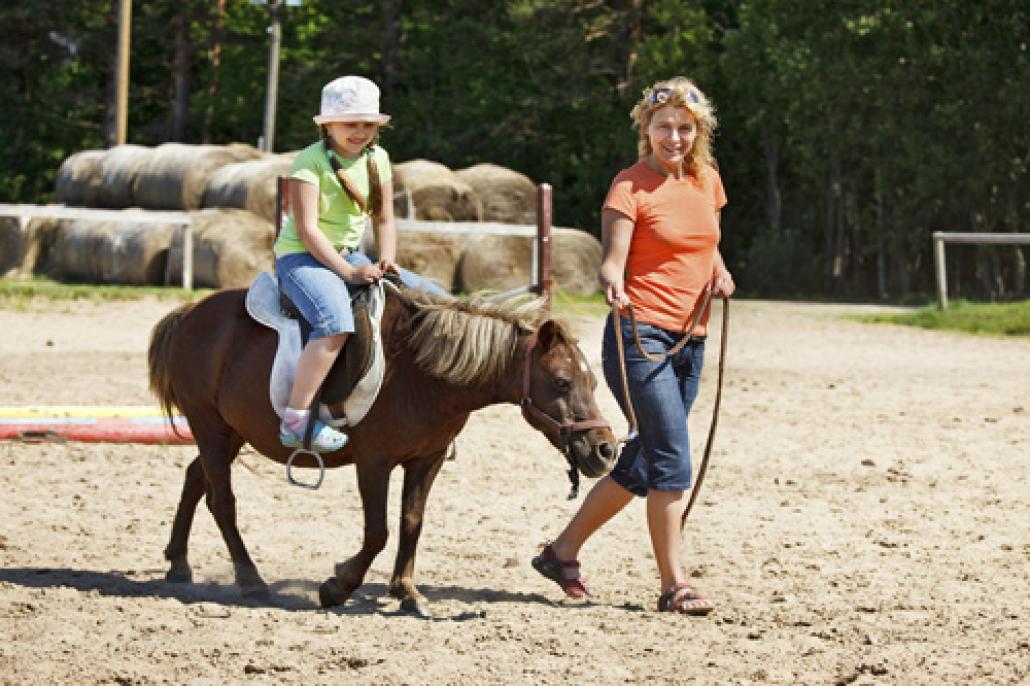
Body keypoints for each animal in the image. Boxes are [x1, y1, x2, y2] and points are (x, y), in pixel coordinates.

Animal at [148, 282, 613, 613]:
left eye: (593, 381)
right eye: (562, 383)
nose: (605, 450)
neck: (421, 372)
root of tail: (190, 313)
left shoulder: (426, 460)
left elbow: (411, 523)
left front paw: (406, 591)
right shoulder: (373, 463)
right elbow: (378, 531)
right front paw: (337, 586)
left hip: (232, 430)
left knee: (196, 479)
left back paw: (179, 563)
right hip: (210, 425)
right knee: (222, 500)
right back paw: (250, 580)